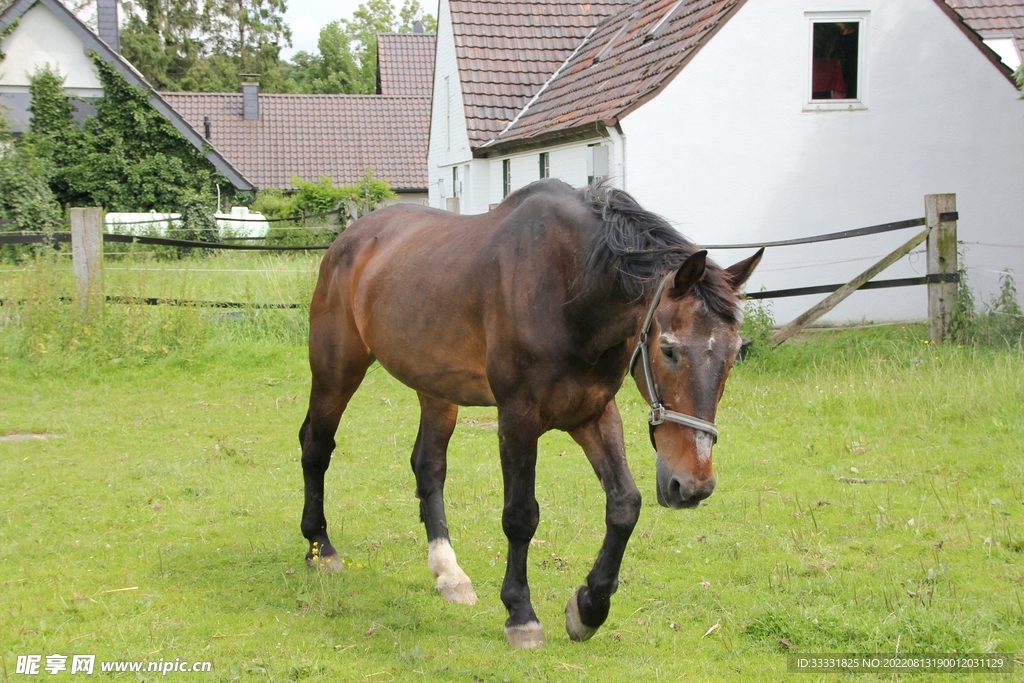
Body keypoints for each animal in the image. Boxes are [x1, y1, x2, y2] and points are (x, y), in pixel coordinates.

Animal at [299, 179, 762, 648]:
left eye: (733, 353)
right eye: (669, 349)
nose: (693, 485)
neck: (570, 290)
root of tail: (349, 239)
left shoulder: (593, 412)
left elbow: (624, 505)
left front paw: (589, 608)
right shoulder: (517, 417)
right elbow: (521, 515)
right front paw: (521, 614)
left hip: (436, 388)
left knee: (428, 466)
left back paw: (449, 574)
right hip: (337, 369)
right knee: (316, 446)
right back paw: (321, 548)